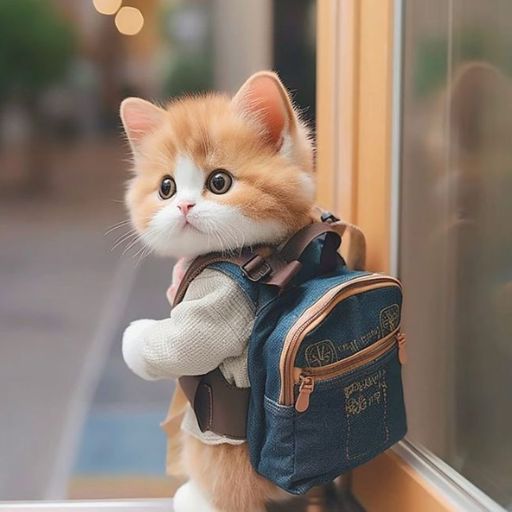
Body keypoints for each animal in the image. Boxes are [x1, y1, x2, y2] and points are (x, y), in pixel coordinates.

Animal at [121, 73, 316, 512]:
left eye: (219, 182)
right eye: (166, 188)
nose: (183, 206)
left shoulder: (221, 292)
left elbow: (180, 344)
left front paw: (134, 336)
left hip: (217, 450)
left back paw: (197, 497)